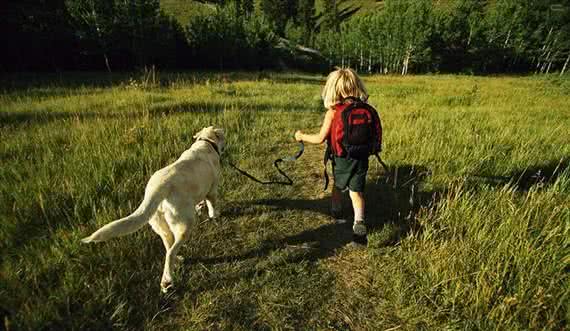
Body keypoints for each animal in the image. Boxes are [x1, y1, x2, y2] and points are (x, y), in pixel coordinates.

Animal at [82, 126, 224, 294]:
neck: (206, 142)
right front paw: (214, 215)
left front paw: (200, 207)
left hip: (161, 225)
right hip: (184, 225)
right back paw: (167, 282)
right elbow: (212, 205)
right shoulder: (213, 189)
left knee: (168, 248)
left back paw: (176, 262)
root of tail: (158, 187)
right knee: (170, 253)